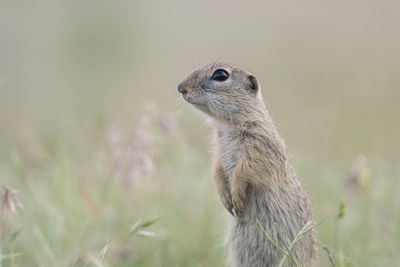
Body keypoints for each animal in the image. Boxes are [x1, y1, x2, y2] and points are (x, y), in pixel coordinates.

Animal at [178, 63, 318, 266]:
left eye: (220, 75)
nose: (180, 88)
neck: (226, 123)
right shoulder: (218, 150)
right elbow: (217, 168)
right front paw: (225, 197)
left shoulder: (260, 144)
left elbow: (246, 170)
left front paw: (236, 195)